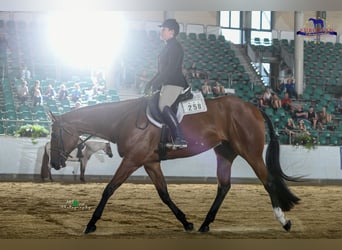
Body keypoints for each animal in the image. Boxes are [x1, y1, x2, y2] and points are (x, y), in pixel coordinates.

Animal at [48, 95, 300, 234]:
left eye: (54, 135)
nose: (55, 163)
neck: (123, 119)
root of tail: (254, 108)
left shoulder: (133, 160)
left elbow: (109, 189)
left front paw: (90, 224)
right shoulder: (149, 162)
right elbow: (164, 194)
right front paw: (186, 223)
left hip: (250, 152)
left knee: (268, 181)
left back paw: (284, 222)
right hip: (225, 153)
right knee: (224, 186)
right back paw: (205, 225)